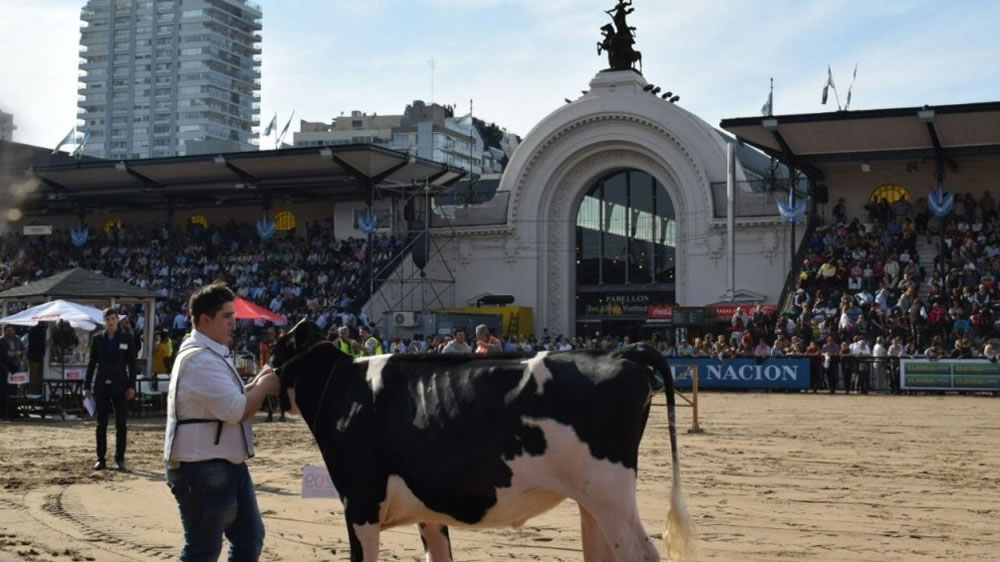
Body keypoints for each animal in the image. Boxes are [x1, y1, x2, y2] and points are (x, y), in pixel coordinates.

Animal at [274, 320, 696, 560]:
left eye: (276, 349)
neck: (343, 388)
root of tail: (621, 352)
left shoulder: (360, 503)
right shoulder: (427, 507)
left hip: (611, 495)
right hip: (593, 501)